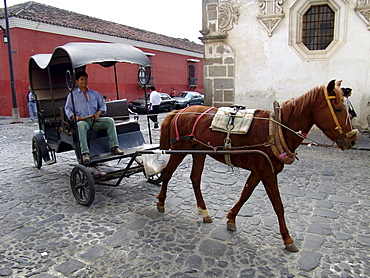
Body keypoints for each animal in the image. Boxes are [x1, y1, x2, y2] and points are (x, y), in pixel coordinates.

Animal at [158, 79, 356, 251]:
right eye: (338, 109)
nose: (352, 140)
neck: (278, 129)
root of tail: (179, 111)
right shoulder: (267, 172)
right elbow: (278, 204)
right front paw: (287, 238)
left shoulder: (259, 171)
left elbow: (245, 194)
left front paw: (231, 218)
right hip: (179, 149)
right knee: (167, 173)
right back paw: (160, 202)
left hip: (199, 152)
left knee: (195, 178)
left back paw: (204, 211)